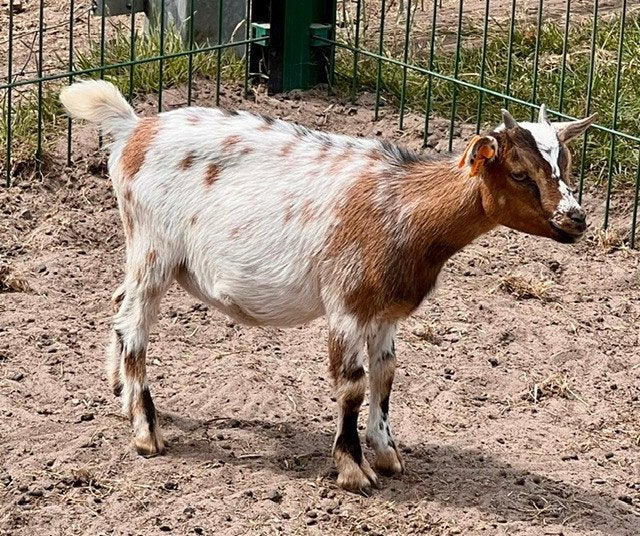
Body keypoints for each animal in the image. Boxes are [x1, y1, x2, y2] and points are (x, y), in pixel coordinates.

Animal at [60, 80, 596, 495]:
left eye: (568, 163)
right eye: (520, 173)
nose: (576, 220)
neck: (403, 207)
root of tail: (133, 129)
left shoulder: (384, 311)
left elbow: (386, 375)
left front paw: (387, 454)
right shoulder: (347, 304)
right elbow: (352, 384)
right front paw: (353, 469)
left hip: (143, 253)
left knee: (118, 305)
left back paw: (120, 395)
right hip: (154, 248)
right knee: (134, 325)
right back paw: (146, 431)